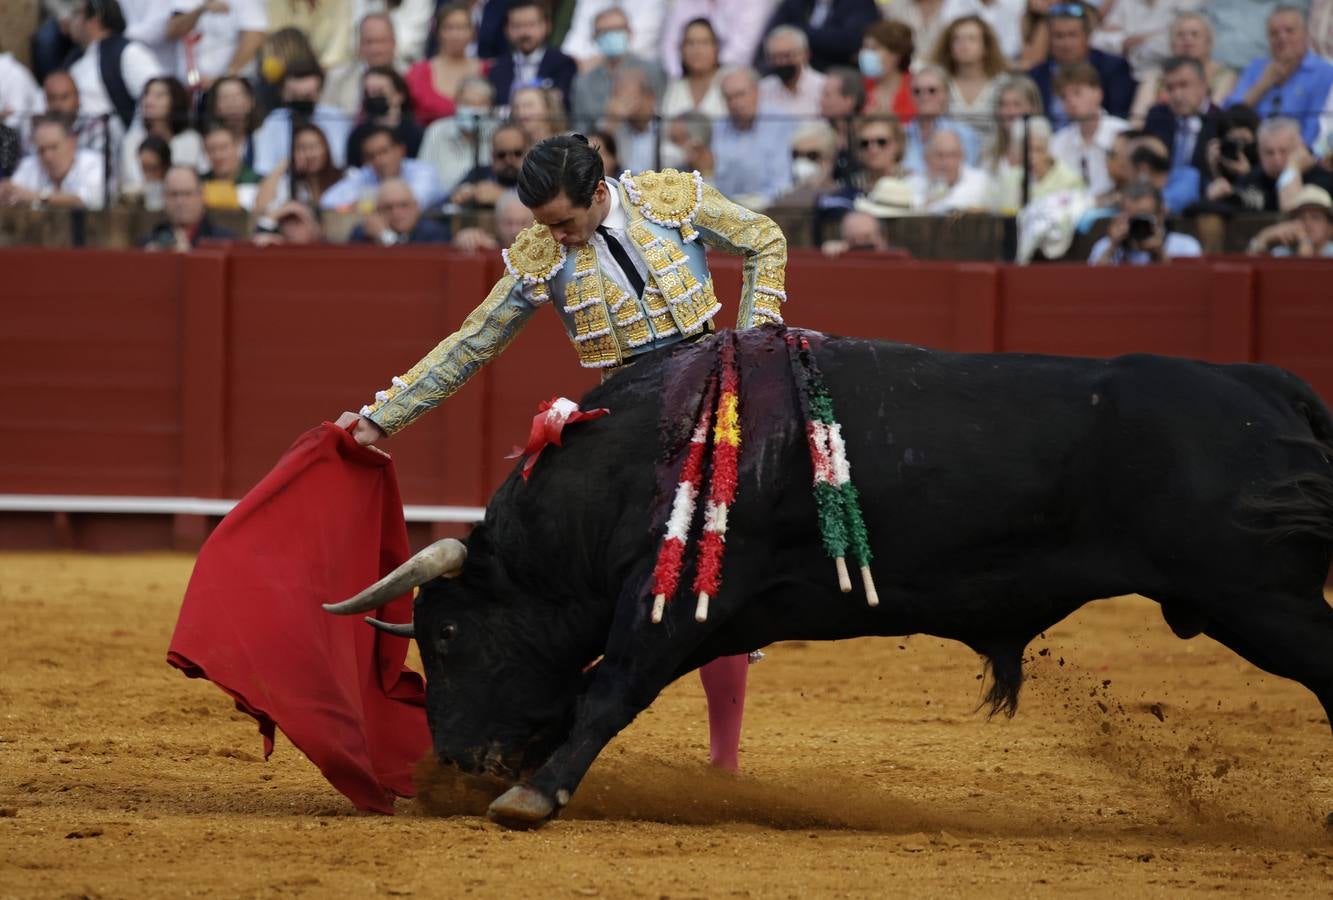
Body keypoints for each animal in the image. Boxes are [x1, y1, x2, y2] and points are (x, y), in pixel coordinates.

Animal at [325, 328, 1333, 826]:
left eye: (447, 633)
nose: (451, 762)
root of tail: (1265, 385)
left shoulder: (674, 605)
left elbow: (607, 690)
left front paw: (529, 799)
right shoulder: (715, 614)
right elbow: (587, 694)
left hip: (1258, 599)